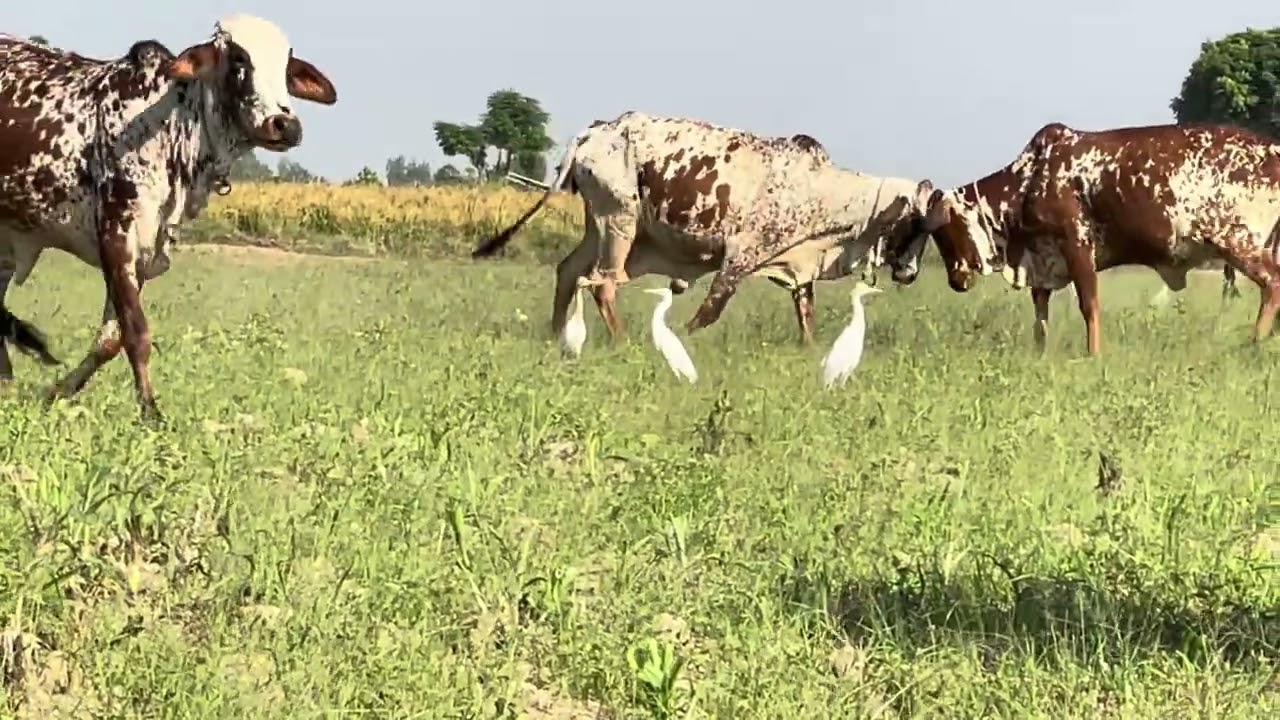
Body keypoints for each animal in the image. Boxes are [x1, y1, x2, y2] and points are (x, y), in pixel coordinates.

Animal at [0, 14, 336, 420]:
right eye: (239, 58)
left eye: (286, 65)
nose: (284, 125)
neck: (171, 125)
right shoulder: (118, 236)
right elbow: (135, 333)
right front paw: (150, 413)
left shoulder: (146, 251)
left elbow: (109, 341)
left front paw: (56, 393)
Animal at [472, 111, 937, 344]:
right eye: (915, 223)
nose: (910, 273)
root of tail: (596, 131)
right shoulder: (740, 257)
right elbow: (710, 311)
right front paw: (682, 339)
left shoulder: (796, 266)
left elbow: (806, 317)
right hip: (618, 222)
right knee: (602, 283)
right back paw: (622, 341)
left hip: (601, 226)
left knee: (569, 270)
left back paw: (556, 336)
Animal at [886, 122, 1264, 355]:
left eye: (941, 232)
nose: (956, 280)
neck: (1029, 180)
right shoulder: (1042, 259)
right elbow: (1040, 313)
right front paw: (1040, 352)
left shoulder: (1077, 246)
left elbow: (1089, 305)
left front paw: (1094, 353)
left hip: (1243, 244)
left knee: (1270, 286)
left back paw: (1255, 343)